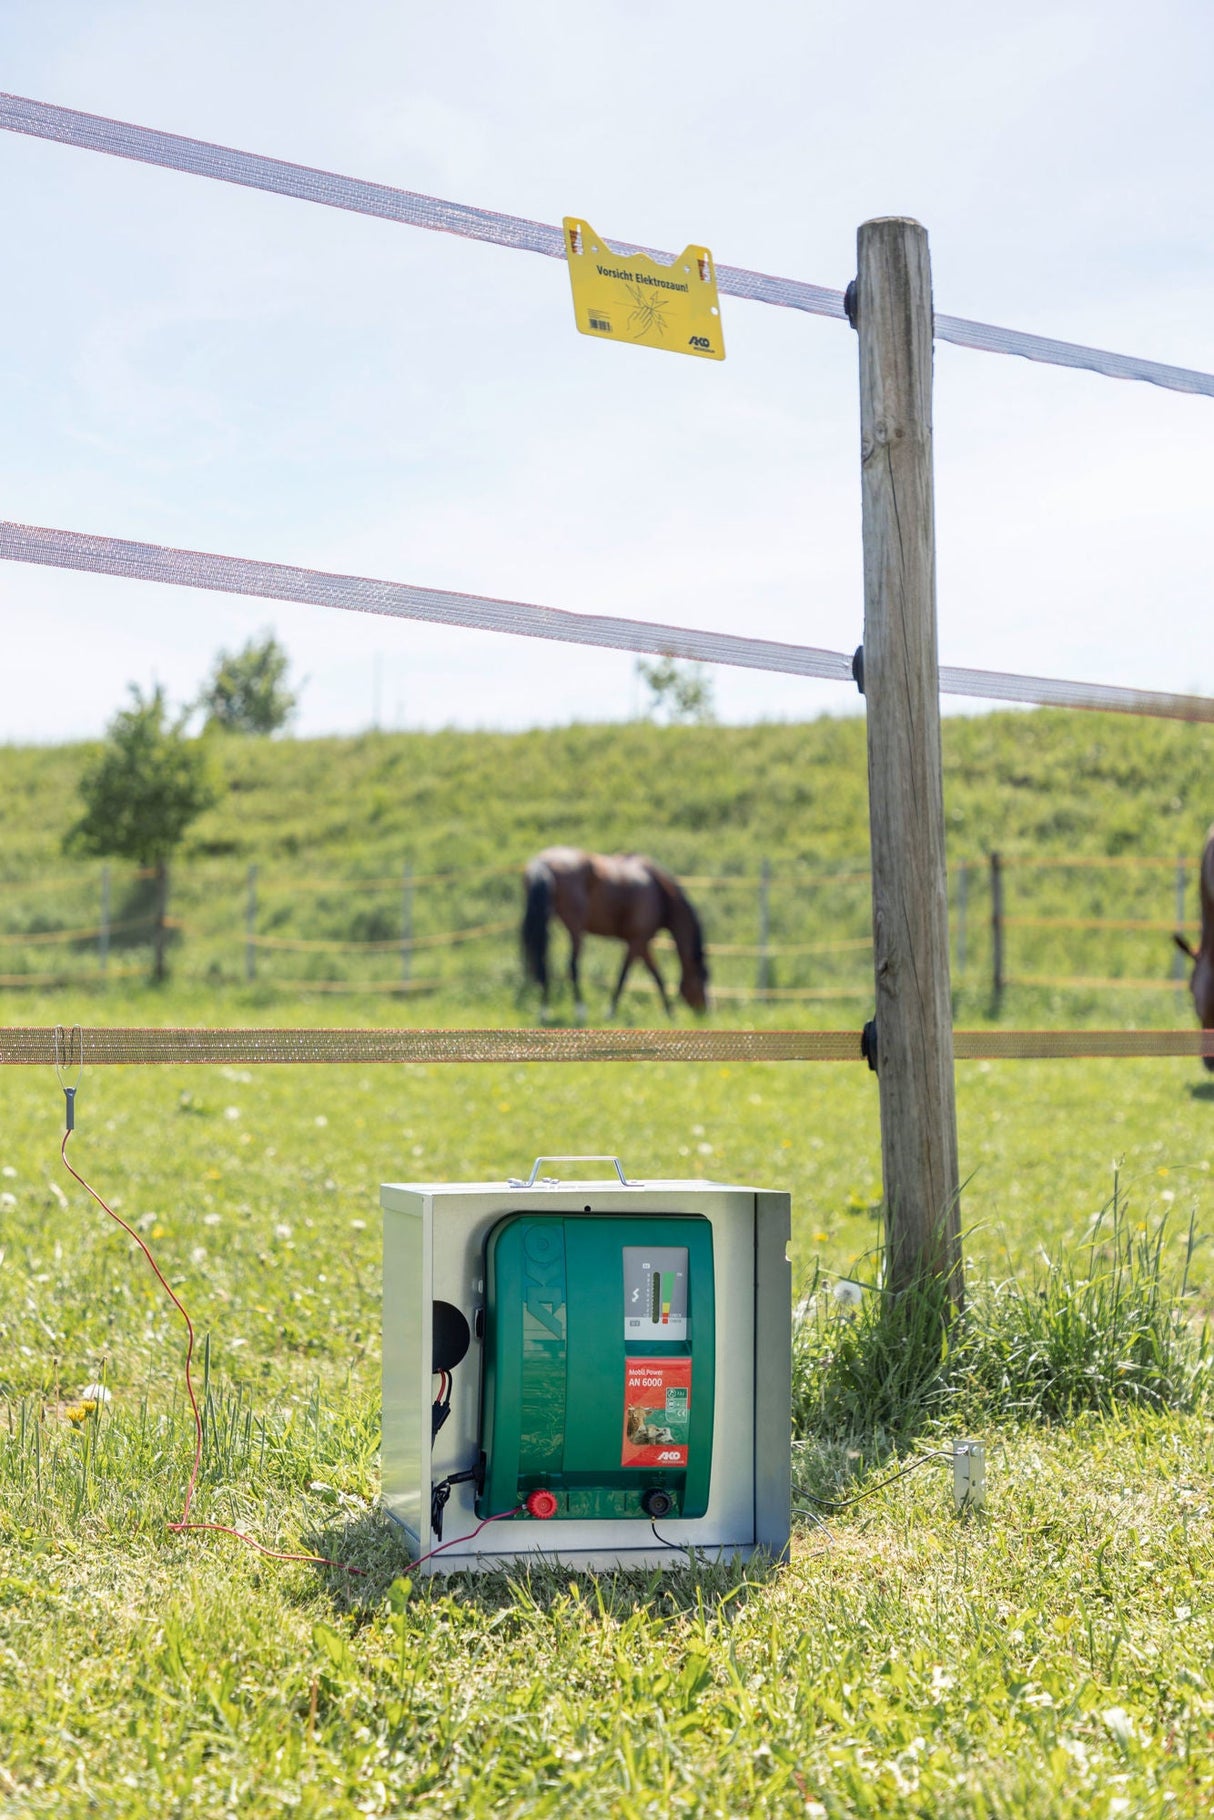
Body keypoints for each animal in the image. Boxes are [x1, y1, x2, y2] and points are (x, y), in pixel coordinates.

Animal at [520, 848, 706, 1026]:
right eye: (702, 979)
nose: (705, 1011)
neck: (659, 892)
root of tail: (543, 862)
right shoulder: (637, 941)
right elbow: (625, 976)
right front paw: (610, 1012)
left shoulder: (642, 943)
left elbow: (656, 976)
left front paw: (669, 1013)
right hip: (575, 927)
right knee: (572, 965)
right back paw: (580, 1011)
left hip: (544, 919)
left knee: (542, 962)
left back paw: (544, 1011)